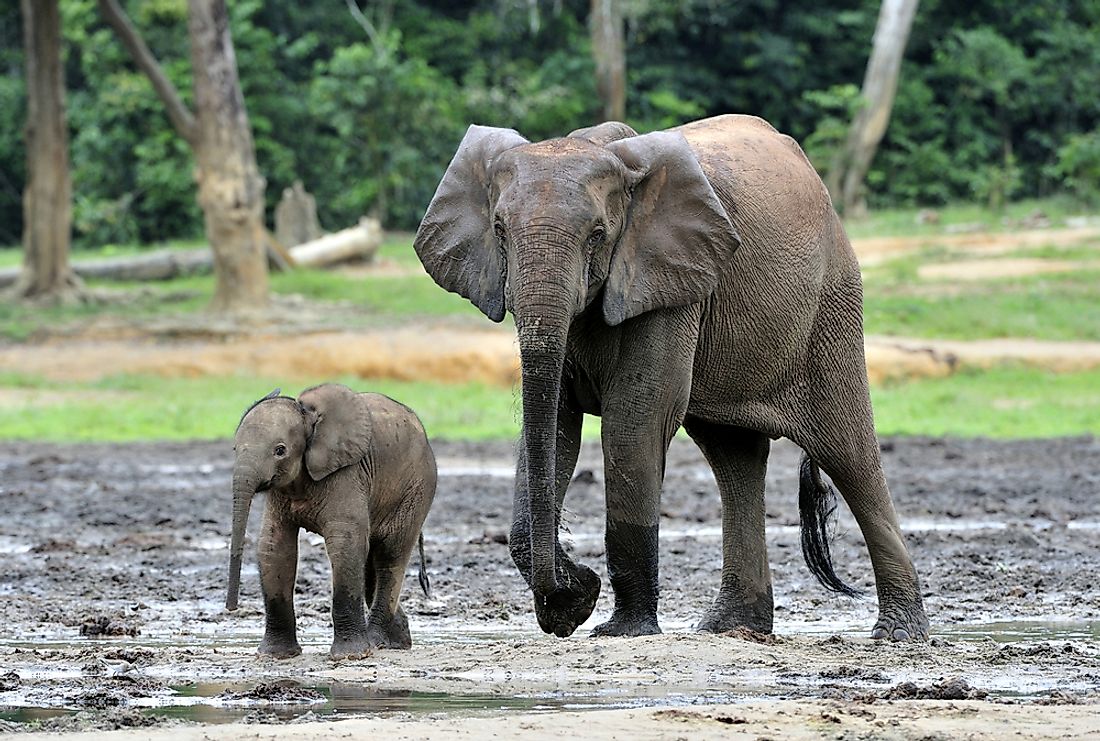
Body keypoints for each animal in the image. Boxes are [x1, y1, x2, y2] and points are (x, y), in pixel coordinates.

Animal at [225, 384, 435, 655]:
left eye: (280, 450)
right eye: (234, 450)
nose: (231, 608)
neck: (308, 416)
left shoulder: (347, 473)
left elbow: (345, 545)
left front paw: (350, 656)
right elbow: (274, 548)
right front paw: (275, 655)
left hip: (416, 489)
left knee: (389, 556)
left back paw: (376, 641)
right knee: (371, 567)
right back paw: (396, 642)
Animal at [413, 113, 928, 642]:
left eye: (598, 234)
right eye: (498, 230)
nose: (573, 587)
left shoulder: (665, 281)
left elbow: (634, 420)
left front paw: (619, 629)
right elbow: (556, 422)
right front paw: (575, 605)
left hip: (832, 304)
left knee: (847, 454)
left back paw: (898, 634)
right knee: (734, 457)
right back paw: (730, 628)